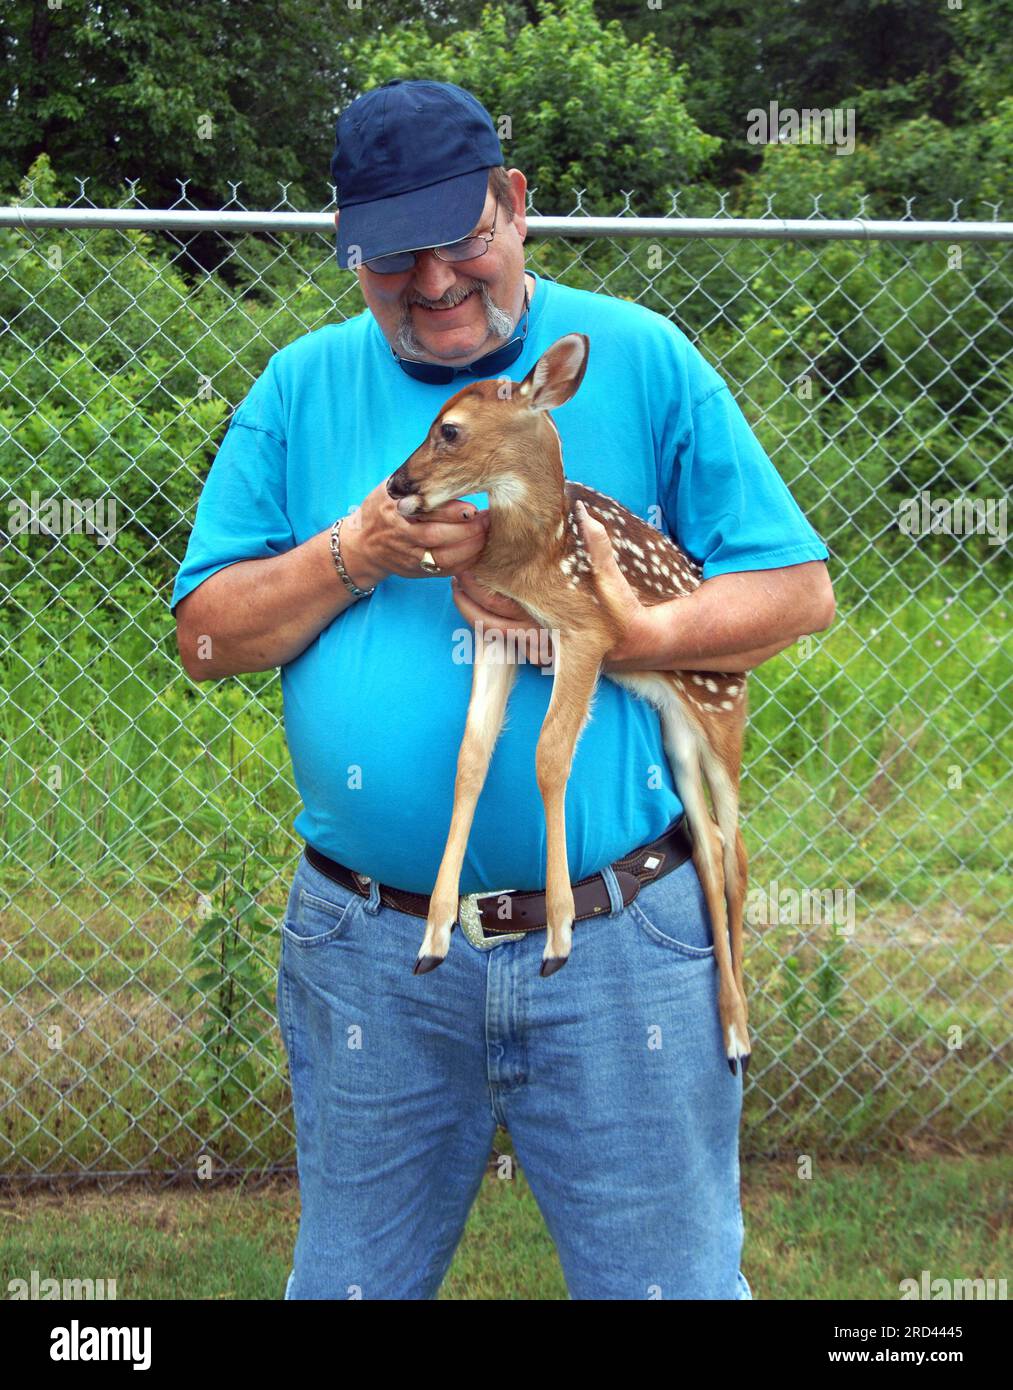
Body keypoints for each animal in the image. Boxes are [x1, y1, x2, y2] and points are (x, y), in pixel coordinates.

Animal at [386, 333, 751, 1074]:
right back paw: (728, 1023)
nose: (396, 486)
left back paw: (737, 1038)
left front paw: (557, 936)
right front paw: (434, 936)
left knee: (737, 859)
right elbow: (470, 758)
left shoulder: (587, 633)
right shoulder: (495, 631)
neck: (538, 553)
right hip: (676, 732)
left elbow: (549, 756)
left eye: (449, 429)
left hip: (725, 717)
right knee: (704, 844)